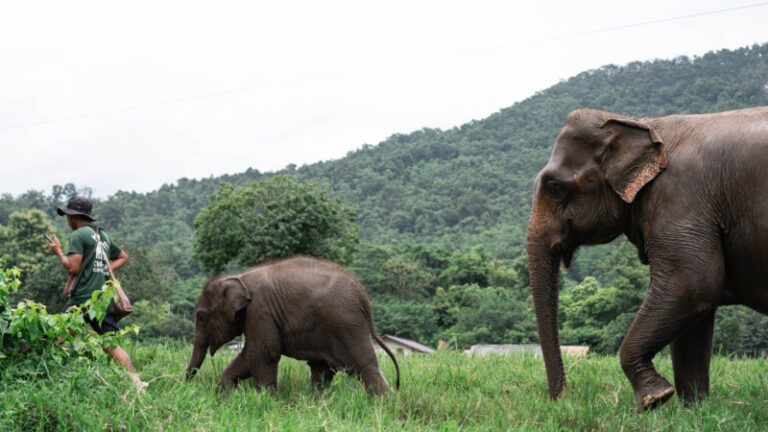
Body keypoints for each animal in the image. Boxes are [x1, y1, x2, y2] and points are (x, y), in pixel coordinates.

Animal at [185, 256, 400, 395]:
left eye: (201, 316)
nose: (184, 386)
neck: (239, 277)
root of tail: (363, 295)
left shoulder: (260, 310)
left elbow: (263, 353)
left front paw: (267, 401)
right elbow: (251, 356)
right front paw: (230, 396)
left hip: (346, 325)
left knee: (363, 366)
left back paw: (384, 405)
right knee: (322, 369)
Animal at [526, 106, 768, 410]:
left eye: (555, 188)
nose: (562, 400)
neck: (645, 123)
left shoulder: (679, 200)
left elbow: (693, 284)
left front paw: (654, 399)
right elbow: (696, 311)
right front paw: (693, 410)